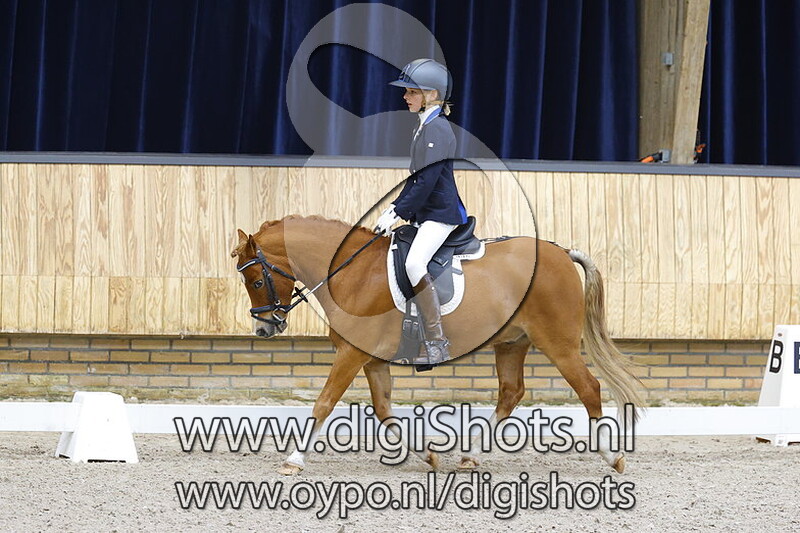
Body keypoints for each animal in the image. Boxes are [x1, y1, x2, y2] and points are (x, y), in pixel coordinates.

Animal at [231, 215, 643, 475]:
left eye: (256, 280)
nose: (266, 328)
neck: (353, 272)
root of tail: (561, 252)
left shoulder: (351, 354)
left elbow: (324, 402)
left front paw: (294, 459)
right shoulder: (371, 359)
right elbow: (385, 411)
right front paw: (427, 455)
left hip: (558, 344)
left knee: (589, 388)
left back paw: (613, 459)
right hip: (512, 343)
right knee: (511, 392)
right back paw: (470, 456)